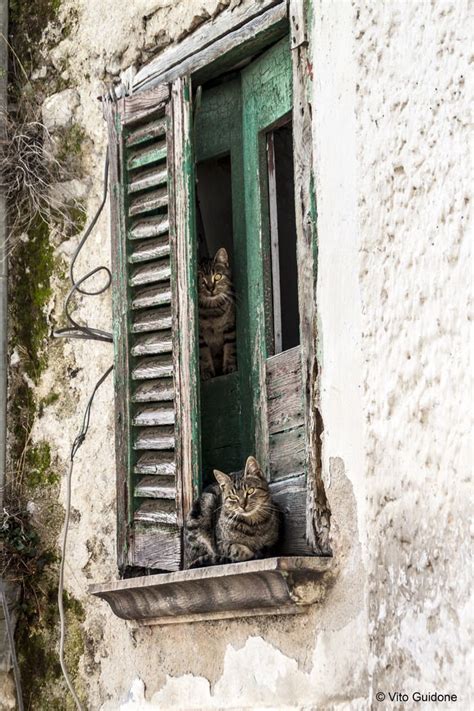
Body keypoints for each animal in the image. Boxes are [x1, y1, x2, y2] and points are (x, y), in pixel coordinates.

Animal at [197, 249, 236, 384]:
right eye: (201, 279)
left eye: (217, 276)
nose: (210, 288)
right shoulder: (200, 336)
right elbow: (204, 354)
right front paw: (206, 372)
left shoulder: (230, 328)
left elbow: (230, 348)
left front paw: (230, 367)